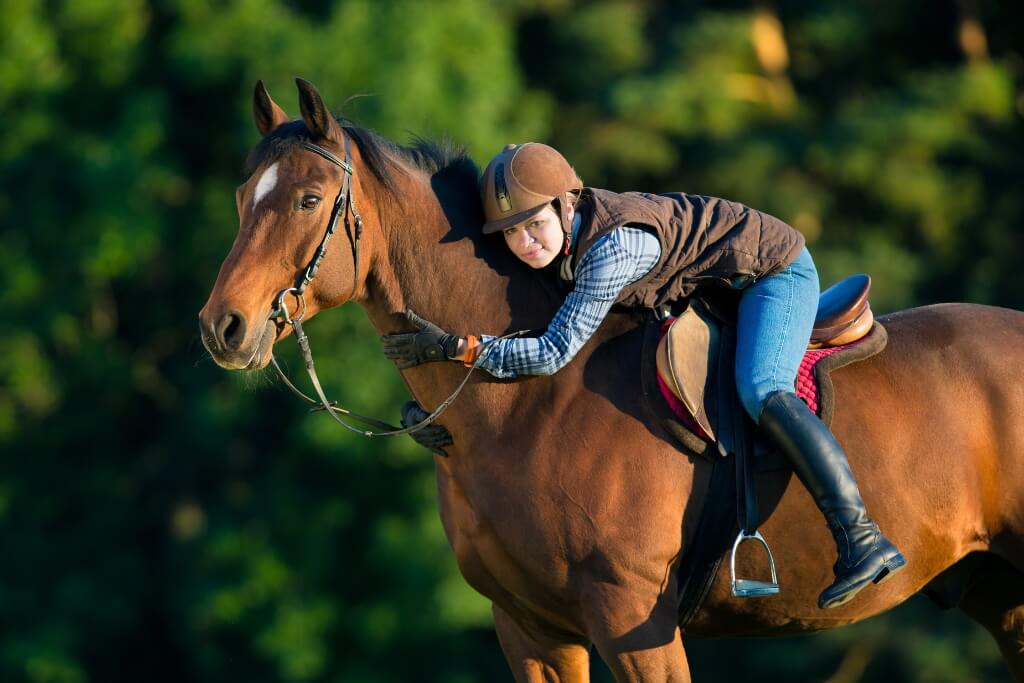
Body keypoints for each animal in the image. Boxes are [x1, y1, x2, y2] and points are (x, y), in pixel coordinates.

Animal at [199, 78, 1024, 679]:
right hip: (1001, 595)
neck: (526, 406)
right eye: (241, 199)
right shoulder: (531, 627)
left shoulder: (632, 617)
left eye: (308, 199)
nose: (222, 327)